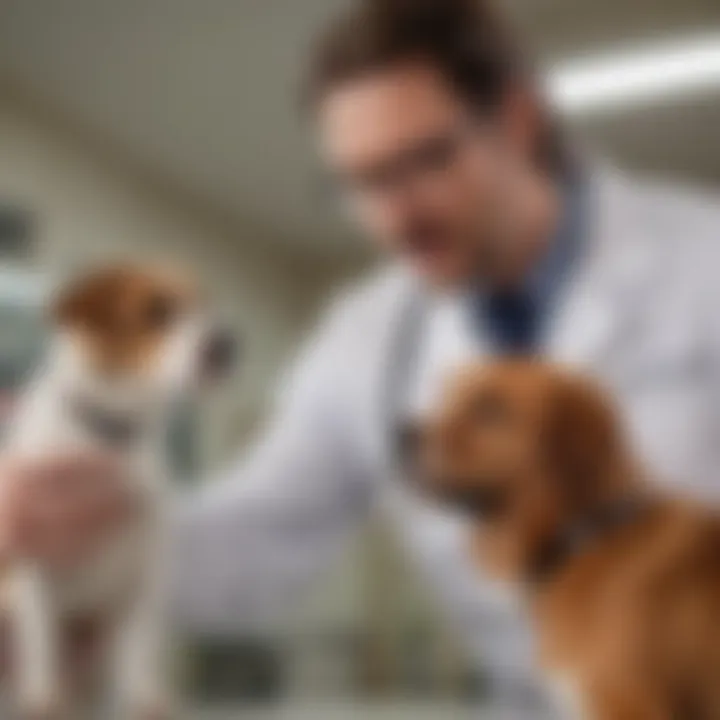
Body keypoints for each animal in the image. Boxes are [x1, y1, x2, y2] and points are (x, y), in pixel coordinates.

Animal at [2, 268, 236, 716]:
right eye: (156, 311)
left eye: (205, 305)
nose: (228, 346)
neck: (107, 438)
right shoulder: (38, 566)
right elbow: (43, 644)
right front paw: (43, 700)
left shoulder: (143, 574)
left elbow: (139, 656)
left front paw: (146, 700)